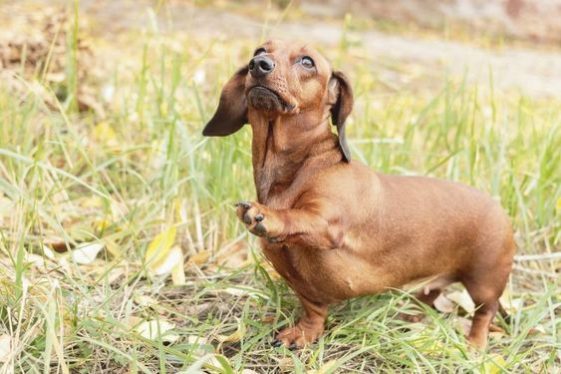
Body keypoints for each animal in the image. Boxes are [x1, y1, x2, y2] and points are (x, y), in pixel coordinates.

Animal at [203, 39, 516, 350]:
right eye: (259, 51)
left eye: (307, 61)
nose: (259, 65)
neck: (305, 162)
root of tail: (500, 209)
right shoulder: (305, 286)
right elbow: (314, 311)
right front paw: (304, 334)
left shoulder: (327, 223)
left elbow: (299, 218)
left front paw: (268, 216)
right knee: (428, 298)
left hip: (484, 282)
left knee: (485, 313)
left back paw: (474, 344)